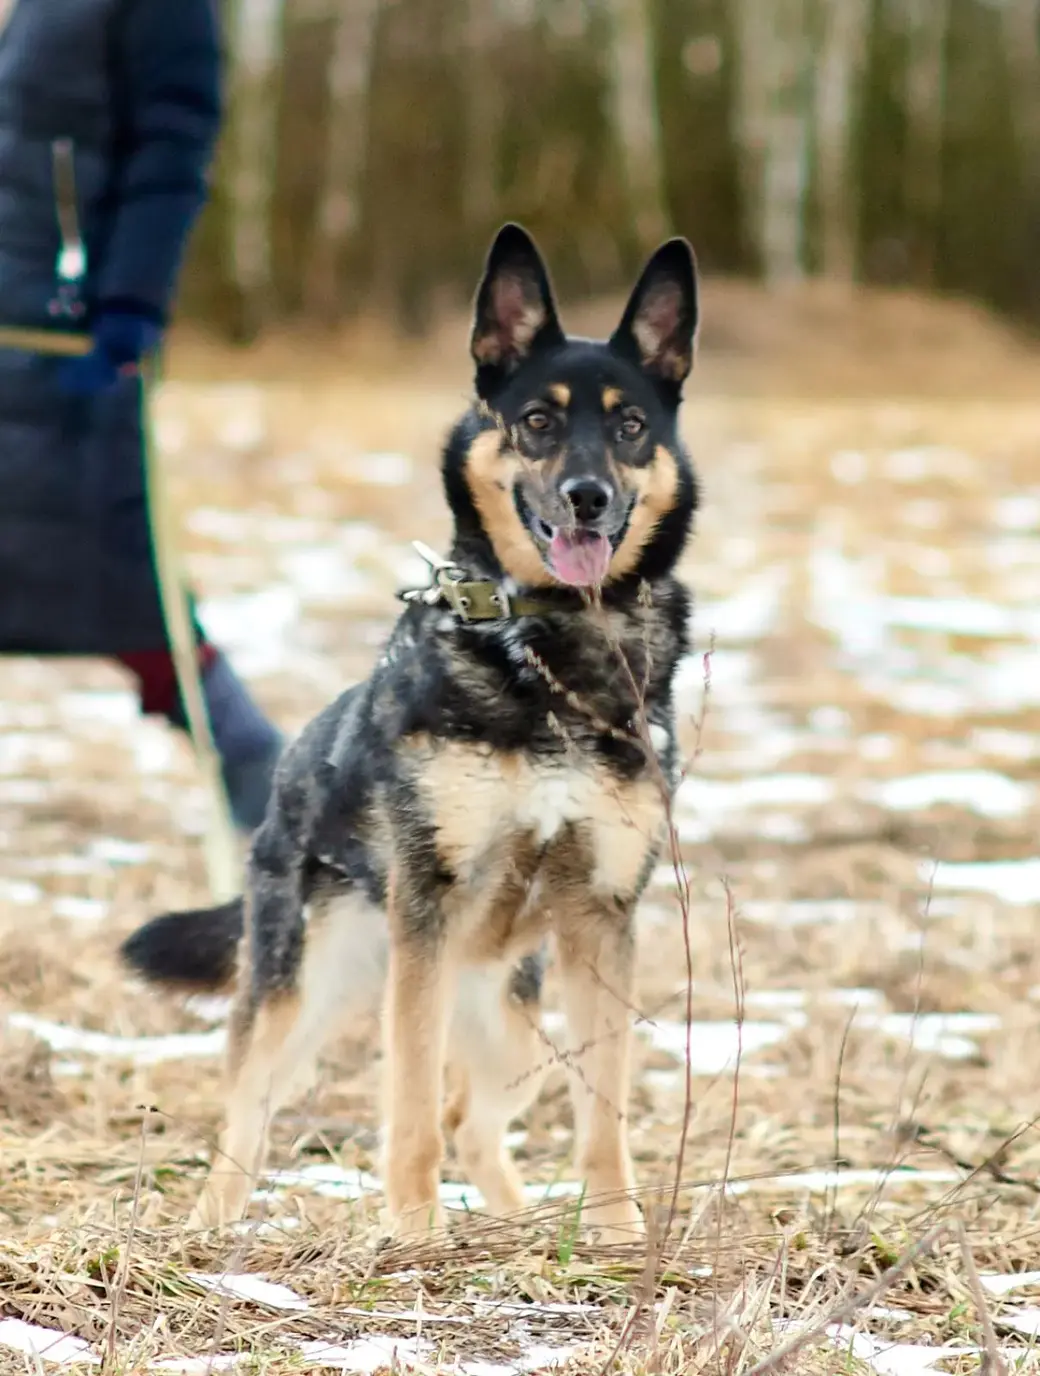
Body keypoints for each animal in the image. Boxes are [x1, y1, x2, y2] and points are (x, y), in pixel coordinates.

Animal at [121, 220, 698, 1243]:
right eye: (538, 421)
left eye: (631, 425)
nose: (587, 496)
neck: (548, 651)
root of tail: (290, 771)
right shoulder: (426, 916)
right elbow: (411, 1102)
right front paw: (415, 1234)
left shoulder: (602, 919)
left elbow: (603, 1112)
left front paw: (617, 1238)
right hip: (307, 989)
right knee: (250, 1114)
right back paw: (213, 1233)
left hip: (512, 1026)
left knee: (474, 1117)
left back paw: (512, 1225)